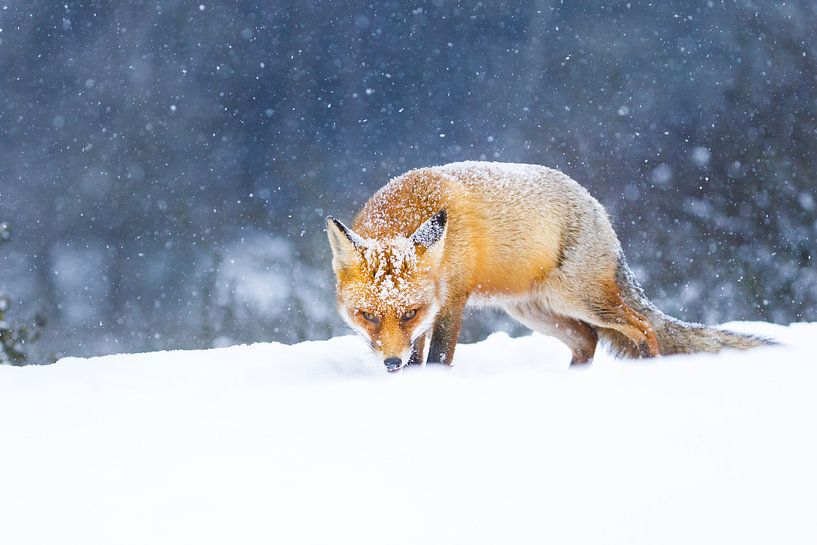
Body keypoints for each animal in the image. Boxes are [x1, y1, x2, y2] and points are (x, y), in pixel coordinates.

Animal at [327, 161, 773, 372]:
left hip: (581, 299)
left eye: (408, 312)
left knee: (642, 327)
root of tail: (599, 210)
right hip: (535, 311)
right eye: (367, 315)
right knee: (588, 341)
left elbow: (436, 358)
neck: (407, 208)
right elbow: (417, 358)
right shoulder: (431, 314)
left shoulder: (450, 302)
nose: (389, 363)